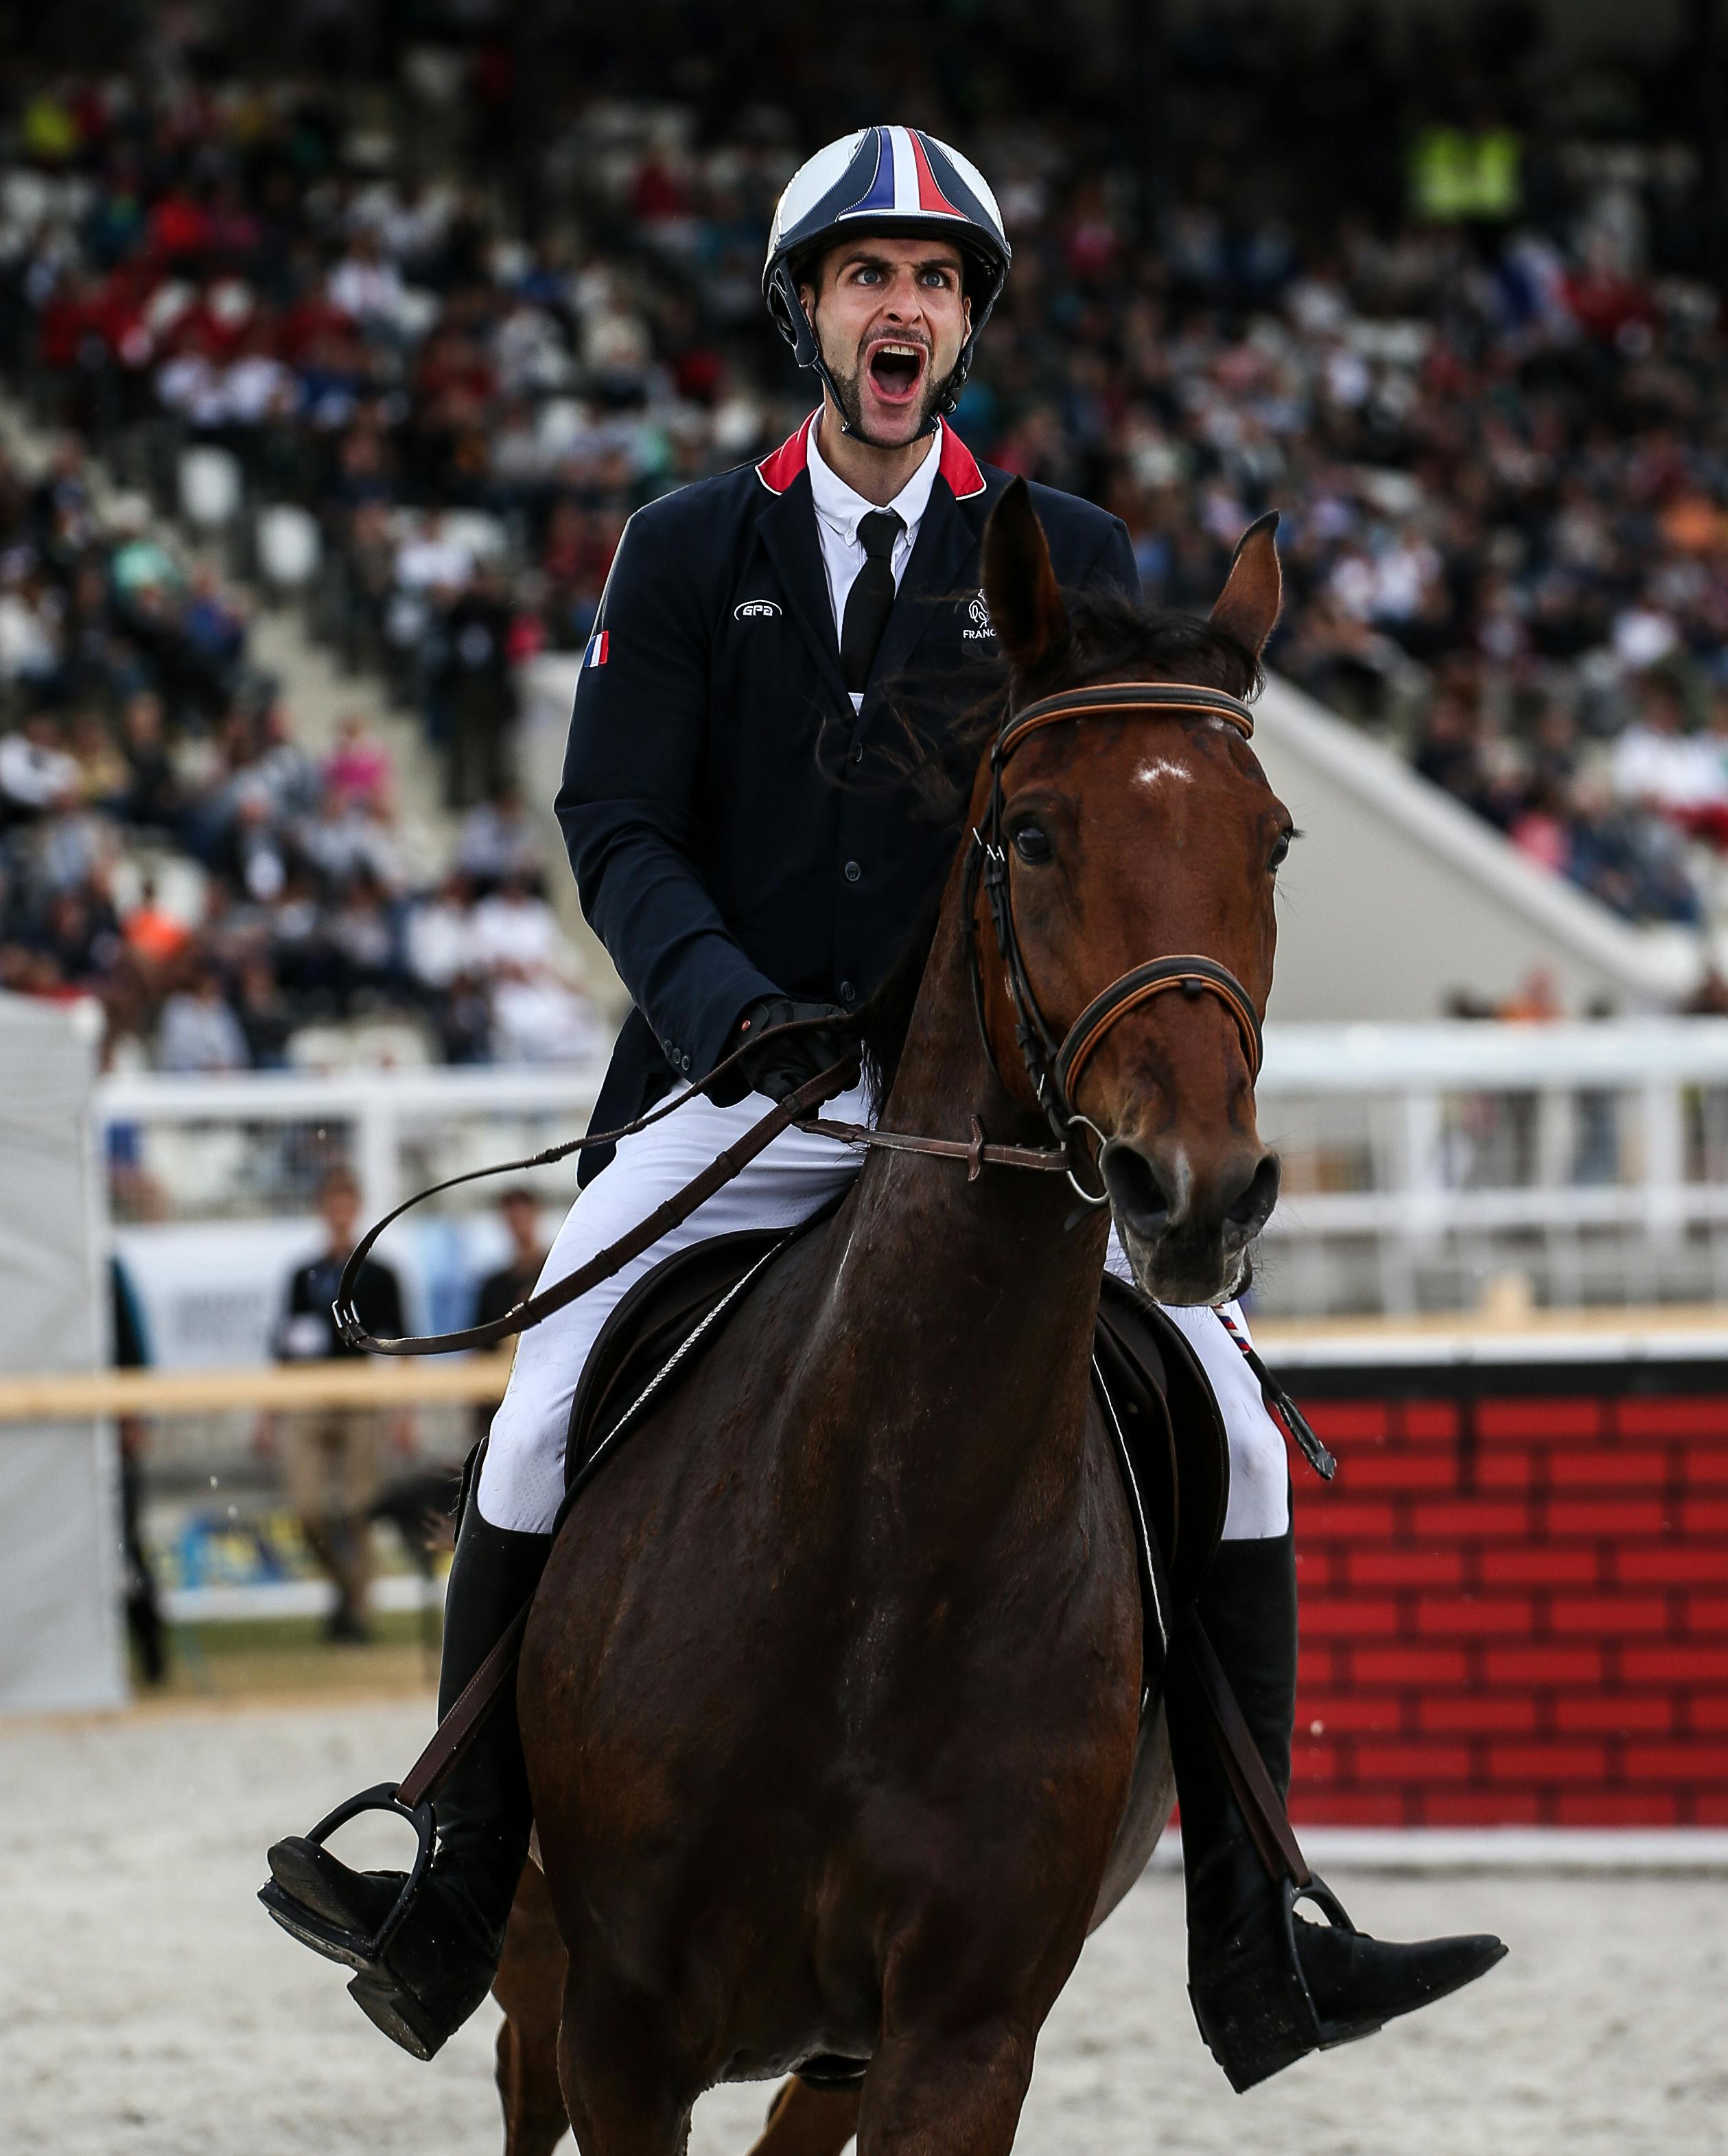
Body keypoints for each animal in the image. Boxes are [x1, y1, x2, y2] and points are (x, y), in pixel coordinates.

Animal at [491, 489, 1284, 2156]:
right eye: (1031, 833)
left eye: (1273, 842)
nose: (1197, 1192)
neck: (881, 1528)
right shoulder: (621, 2032)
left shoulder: (957, 2040)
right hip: (538, 1975)